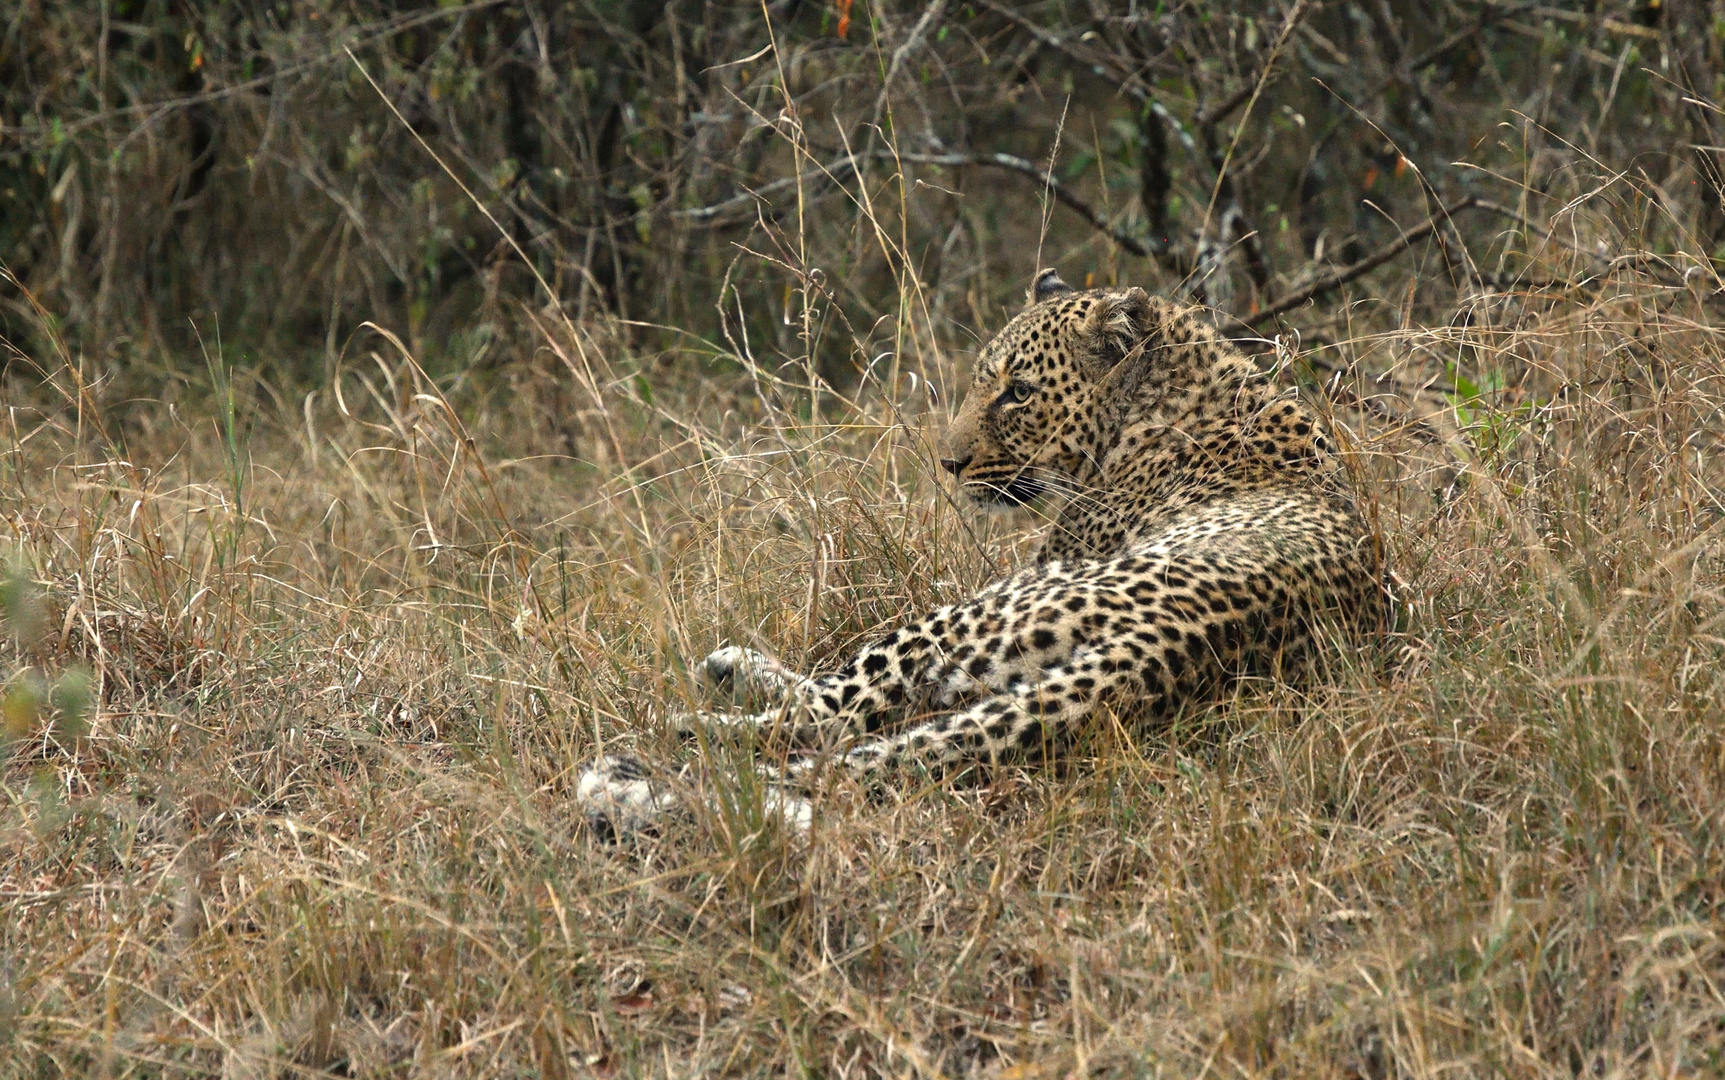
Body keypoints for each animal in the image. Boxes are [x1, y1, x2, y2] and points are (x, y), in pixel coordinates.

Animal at [579, 267, 1386, 831]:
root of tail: (1178, 642)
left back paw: (676, 728)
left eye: (1019, 392)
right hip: (992, 675)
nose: (948, 462)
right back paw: (726, 676)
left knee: (822, 718)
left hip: (970, 617)